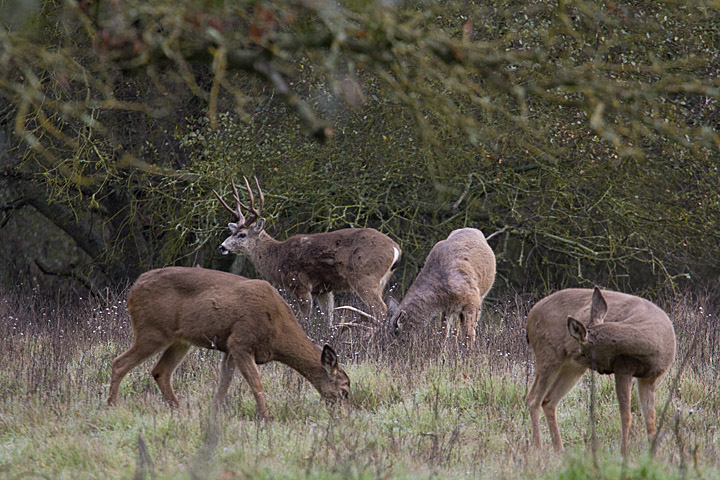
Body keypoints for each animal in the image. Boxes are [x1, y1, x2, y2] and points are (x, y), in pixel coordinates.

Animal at [107, 266, 350, 421]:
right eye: (345, 391)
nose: (343, 417)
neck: (278, 332)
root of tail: (134, 287)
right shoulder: (241, 341)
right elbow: (255, 382)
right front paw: (265, 418)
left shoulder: (229, 348)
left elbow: (224, 382)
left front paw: (214, 414)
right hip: (152, 331)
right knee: (119, 362)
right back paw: (112, 406)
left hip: (180, 340)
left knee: (160, 371)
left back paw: (178, 409)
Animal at [214, 177, 401, 324]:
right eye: (232, 232)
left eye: (242, 235)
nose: (222, 247)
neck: (277, 257)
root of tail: (396, 248)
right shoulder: (323, 289)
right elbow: (328, 320)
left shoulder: (299, 283)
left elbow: (304, 320)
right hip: (381, 280)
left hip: (364, 276)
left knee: (380, 309)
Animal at [525, 287, 676, 456]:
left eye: (583, 352)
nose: (576, 353)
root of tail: (530, 315)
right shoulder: (623, 367)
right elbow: (626, 416)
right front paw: (623, 454)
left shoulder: (650, 378)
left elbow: (650, 420)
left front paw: (652, 456)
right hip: (548, 354)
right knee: (533, 398)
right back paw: (538, 448)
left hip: (573, 367)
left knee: (549, 401)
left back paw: (560, 450)